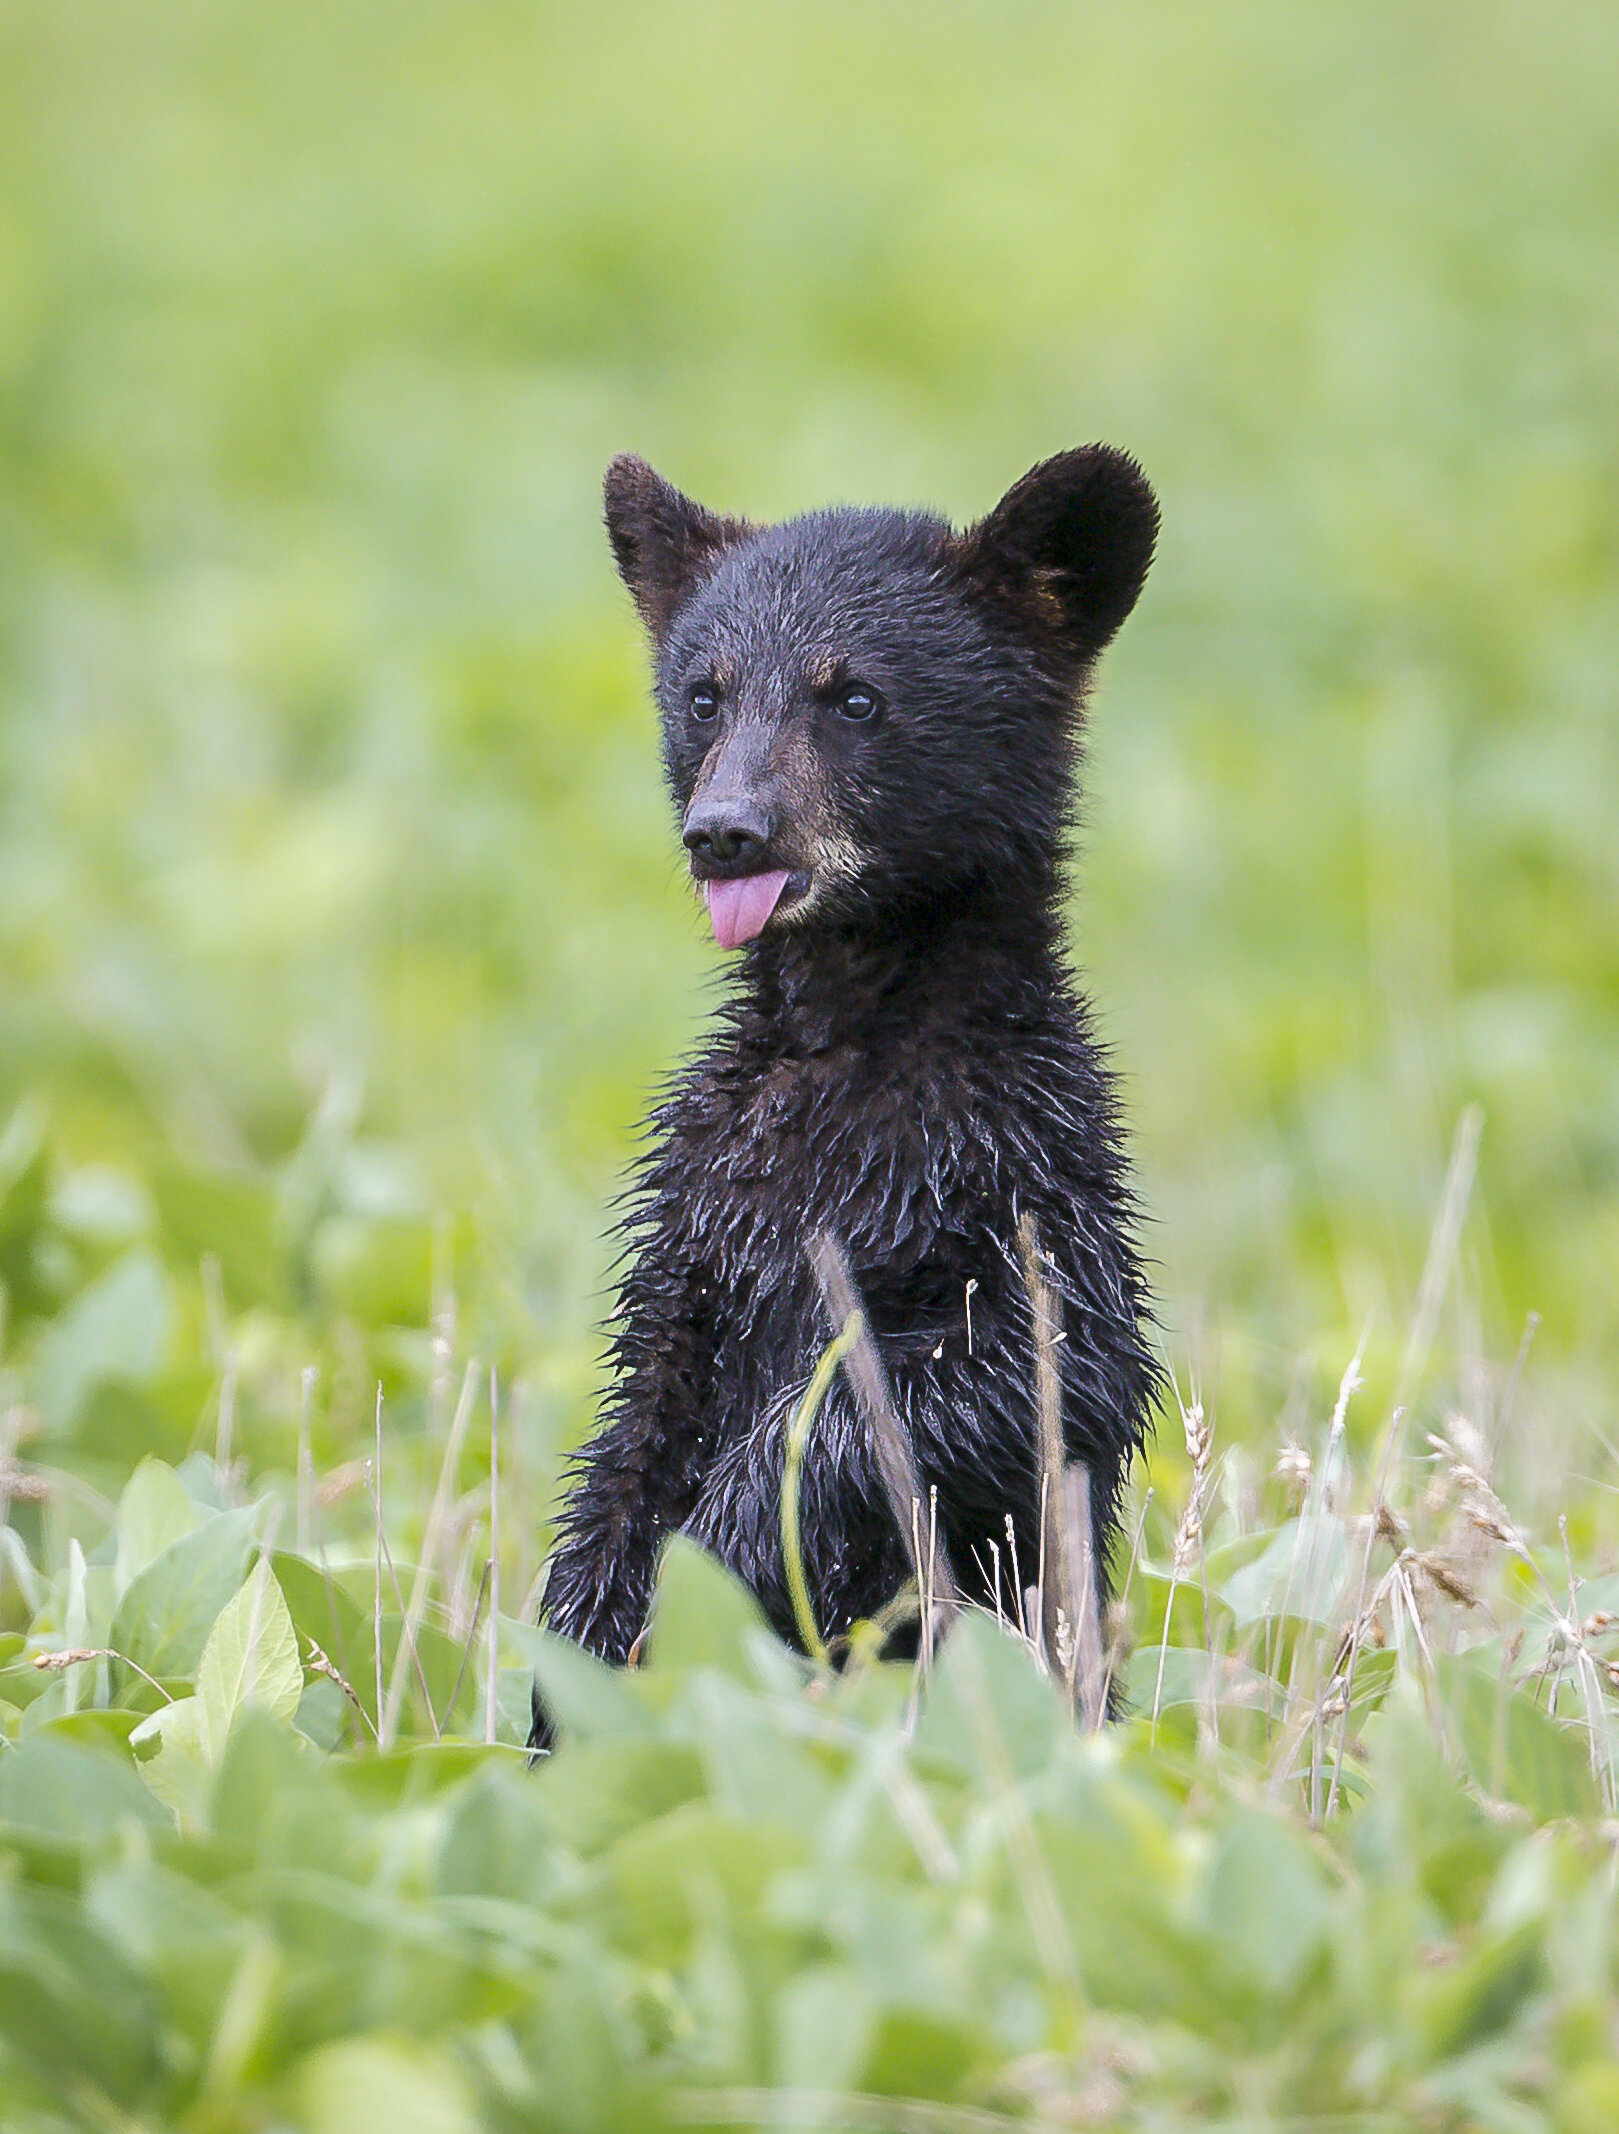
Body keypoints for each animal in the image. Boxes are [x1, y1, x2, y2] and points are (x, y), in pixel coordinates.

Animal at [532, 446, 1162, 1747]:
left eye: (854, 696)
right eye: (705, 694)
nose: (726, 831)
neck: (849, 1032)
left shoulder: (1021, 1171)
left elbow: (1025, 1375)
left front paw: (724, 1554)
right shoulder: (696, 1219)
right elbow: (634, 1428)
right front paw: (573, 1662)